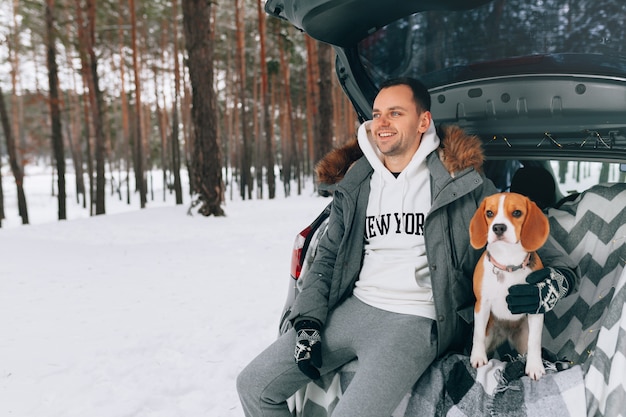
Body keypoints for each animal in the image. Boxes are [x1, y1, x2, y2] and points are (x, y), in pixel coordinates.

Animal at [466, 193, 548, 380]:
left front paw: (535, 366)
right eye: (489, 213)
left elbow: (535, 341)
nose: (498, 227)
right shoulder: (481, 304)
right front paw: (477, 357)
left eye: (517, 212)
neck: (508, 262)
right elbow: (477, 334)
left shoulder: (535, 307)